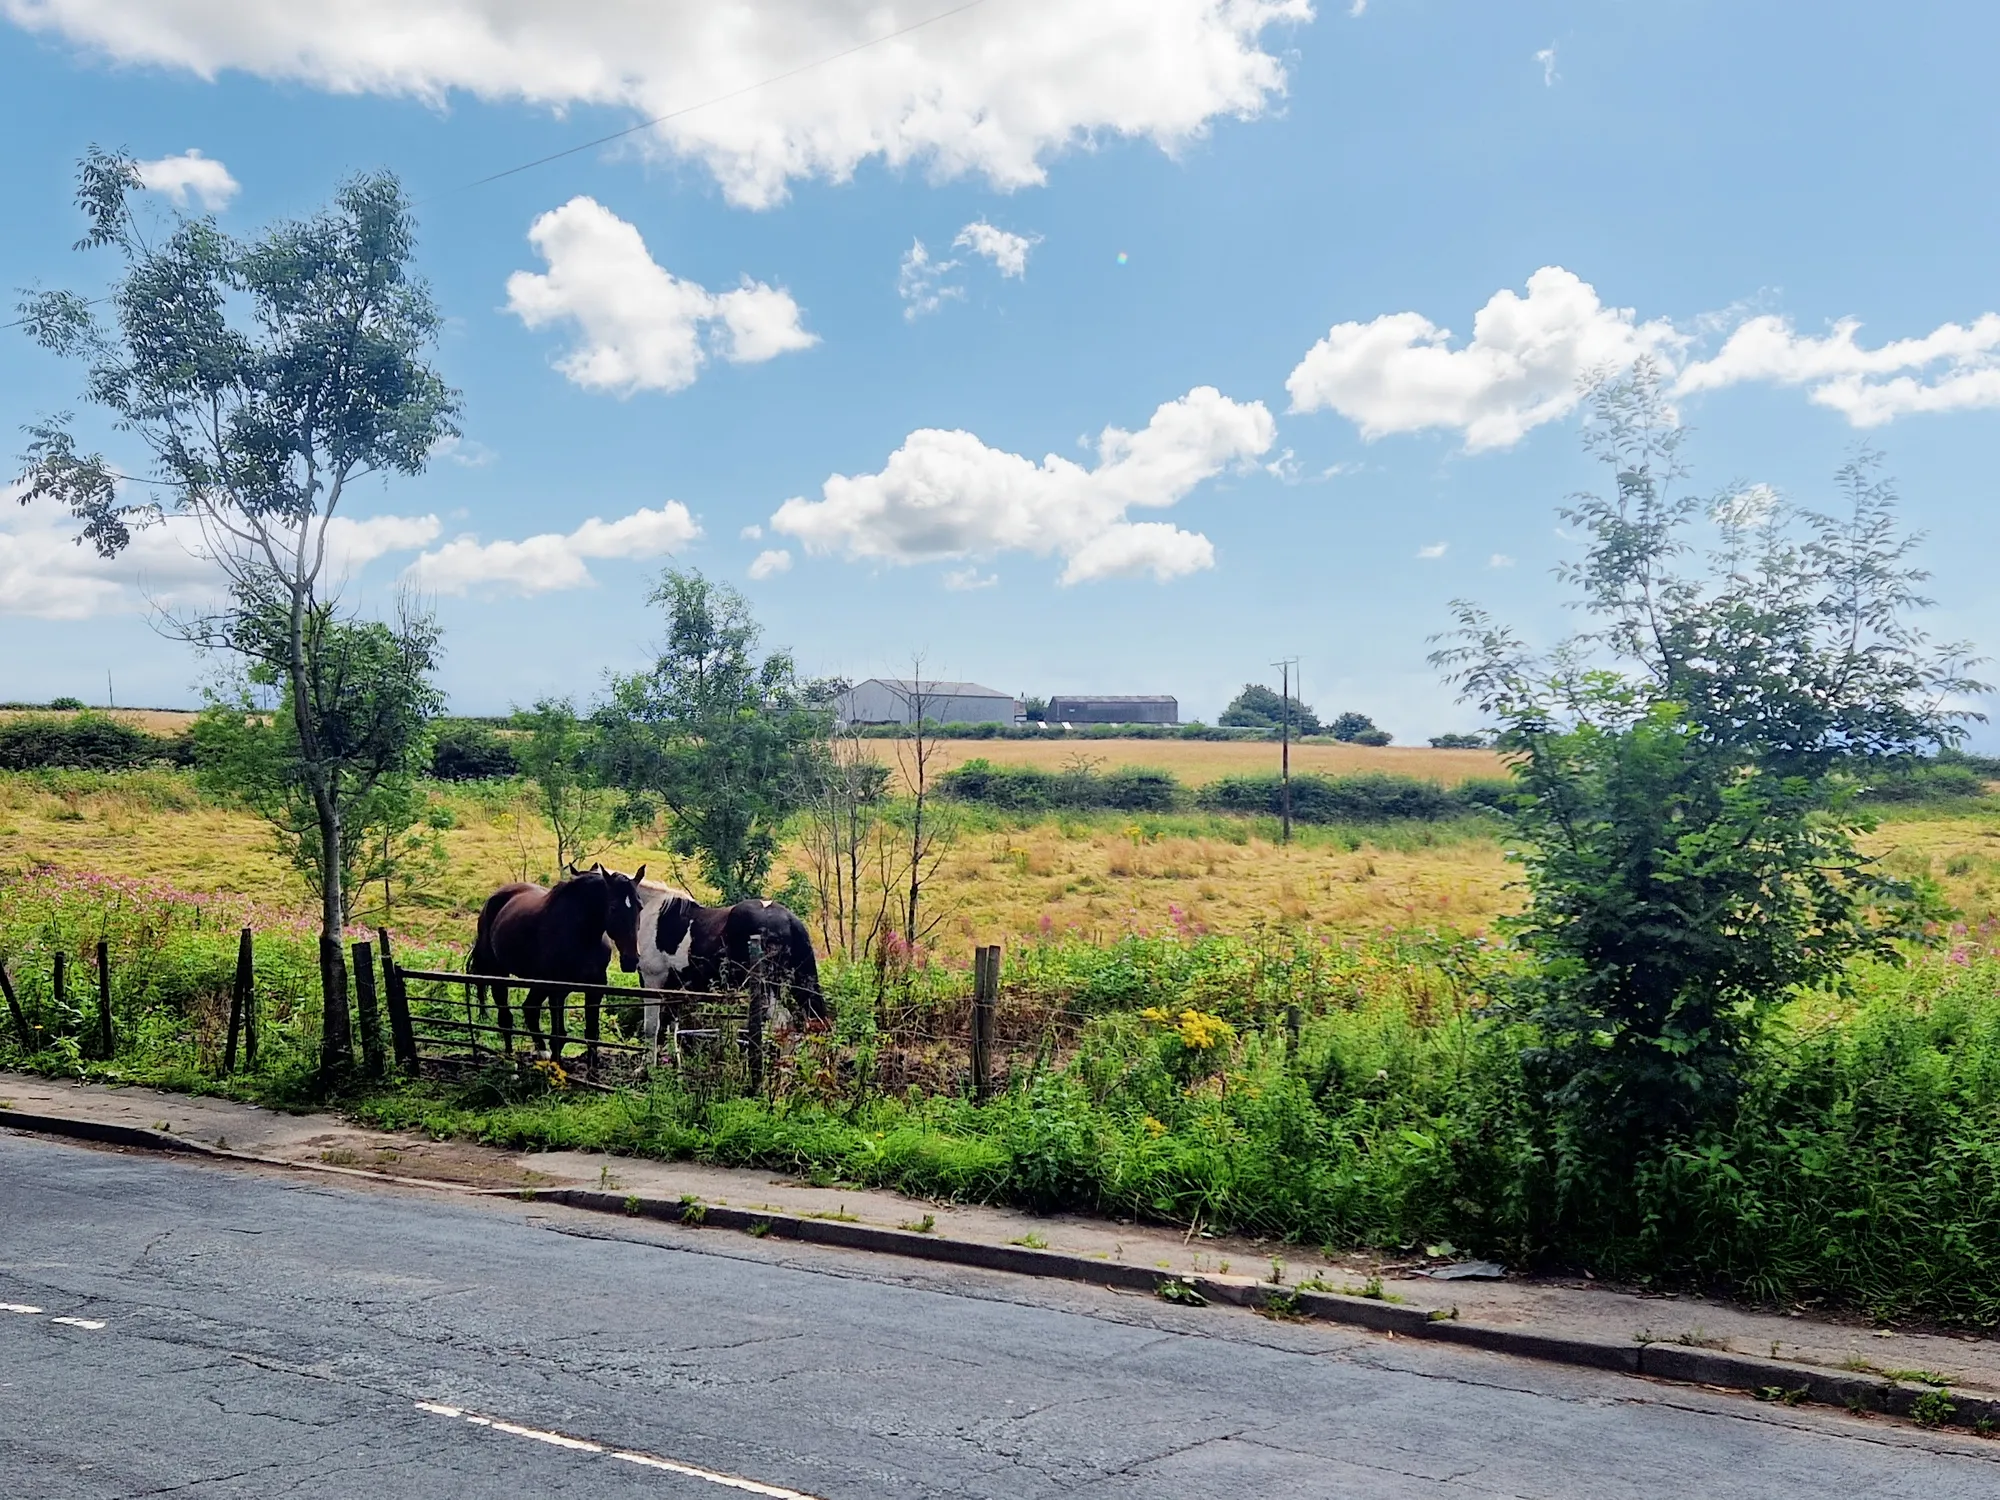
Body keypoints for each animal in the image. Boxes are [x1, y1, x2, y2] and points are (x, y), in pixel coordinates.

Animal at [468, 864, 648, 1064]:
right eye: (613, 907)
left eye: (640, 907)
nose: (631, 960)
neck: (582, 936)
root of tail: (493, 899)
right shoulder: (557, 991)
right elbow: (558, 1035)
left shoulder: (595, 988)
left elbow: (592, 1033)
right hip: (500, 974)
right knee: (506, 1017)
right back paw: (510, 1058)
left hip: (538, 983)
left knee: (530, 1009)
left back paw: (541, 1052)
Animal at [636, 888, 832, 1064]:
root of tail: (791, 920)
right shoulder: (675, 989)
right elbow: (672, 1029)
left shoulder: (652, 981)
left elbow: (652, 1027)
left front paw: (648, 1068)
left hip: (767, 989)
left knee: (782, 1024)